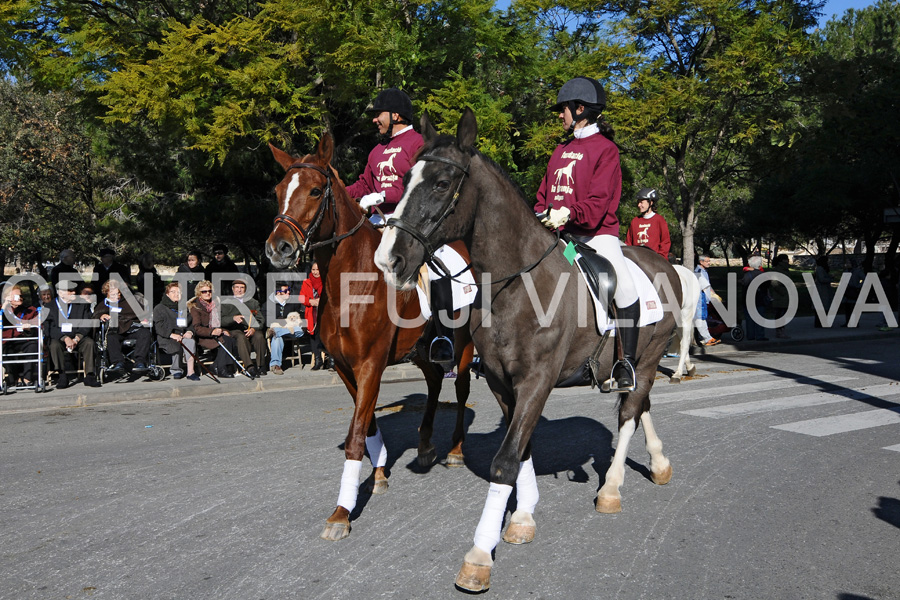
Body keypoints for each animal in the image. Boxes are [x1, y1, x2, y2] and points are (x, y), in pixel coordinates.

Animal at [264, 134, 474, 540]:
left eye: (315, 191)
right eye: (278, 191)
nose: (277, 248)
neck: (351, 282)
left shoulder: (370, 364)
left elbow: (356, 435)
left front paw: (342, 512)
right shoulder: (347, 368)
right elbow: (368, 426)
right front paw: (377, 474)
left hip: (465, 345)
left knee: (460, 387)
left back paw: (456, 451)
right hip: (421, 349)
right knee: (435, 381)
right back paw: (425, 444)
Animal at [376, 109, 680, 596]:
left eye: (441, 183)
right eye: (404, 180)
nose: (390, 260)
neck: (518, 284)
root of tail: (664, 264)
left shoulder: (537, 380)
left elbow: (504, 462)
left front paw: (479, 556)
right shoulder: (504, 383)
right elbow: (521, 449)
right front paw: (520, 517)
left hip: (649, 357)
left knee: (630, 412)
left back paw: (611, 489)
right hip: (633, 364)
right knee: (640, 402)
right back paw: (660, 462)